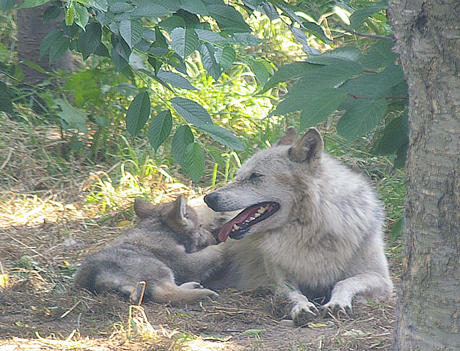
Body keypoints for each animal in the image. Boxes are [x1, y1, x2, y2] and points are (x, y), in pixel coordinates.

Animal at [74, 197, 222, 304]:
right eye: (201, 226)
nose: (215, 238)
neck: (161, 230)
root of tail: (99, 280)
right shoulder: (185, 263)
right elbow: (213, 252)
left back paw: (194, 286)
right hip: (160, 268)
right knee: (165, 293)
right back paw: (205, 294)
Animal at [203, 126, 394, 324]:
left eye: (255, 176)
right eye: (238, 176)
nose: (209, 198)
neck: (311, 231)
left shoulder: (381, 279)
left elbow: (344, 282)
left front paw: (337, 303)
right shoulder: (280, 276)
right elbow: (293, 293)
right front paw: (301, 308)